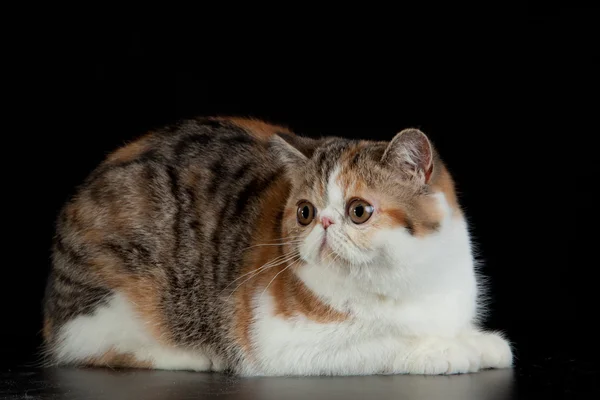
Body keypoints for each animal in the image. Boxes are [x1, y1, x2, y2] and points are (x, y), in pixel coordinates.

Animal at [42, 115, 512, 376]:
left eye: (359, 210)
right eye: (304, 212)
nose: (323, 223)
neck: (399, 281)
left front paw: (477, 340)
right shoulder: (280, 342)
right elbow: (383, 339)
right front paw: (450, 350)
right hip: (116, 298)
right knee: (95, 347)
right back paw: (193, 356)